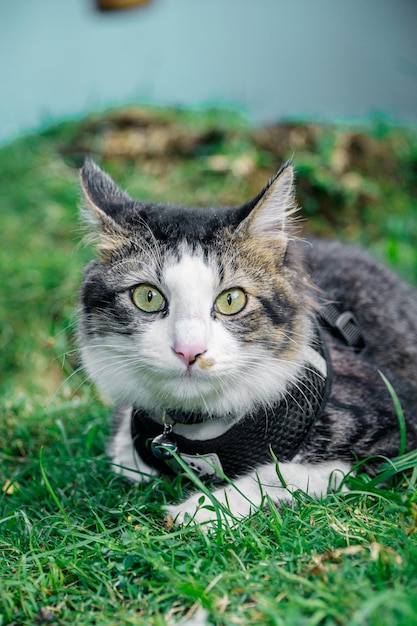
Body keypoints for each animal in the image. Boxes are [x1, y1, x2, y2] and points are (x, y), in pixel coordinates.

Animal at [77, 158, 416, 524]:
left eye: (231, 300)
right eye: (147, 297)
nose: (189, 351)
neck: (196, 431)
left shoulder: (395, 427)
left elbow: (276, 475)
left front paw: (196, 511)